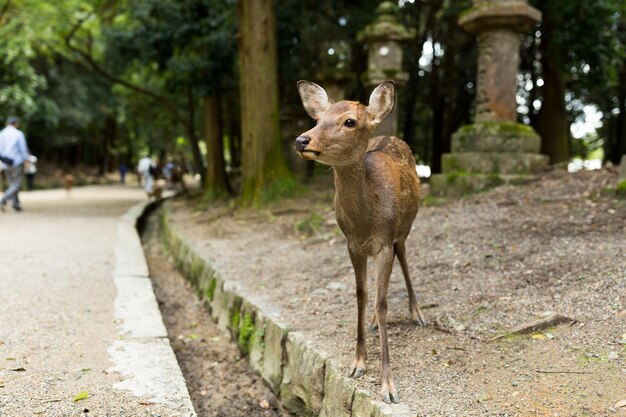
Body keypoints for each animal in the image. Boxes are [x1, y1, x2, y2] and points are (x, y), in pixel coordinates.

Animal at [294, 80, 424, 404]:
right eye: (318, 118)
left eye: (350, 121)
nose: (302, 140)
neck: (366, 223)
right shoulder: (352, 245)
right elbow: (361, 295)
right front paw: (358, 363)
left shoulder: (384, 241)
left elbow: (382, 302)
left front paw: (388, 386)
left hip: (405, 227)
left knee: (404, 254)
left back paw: (417, 313)